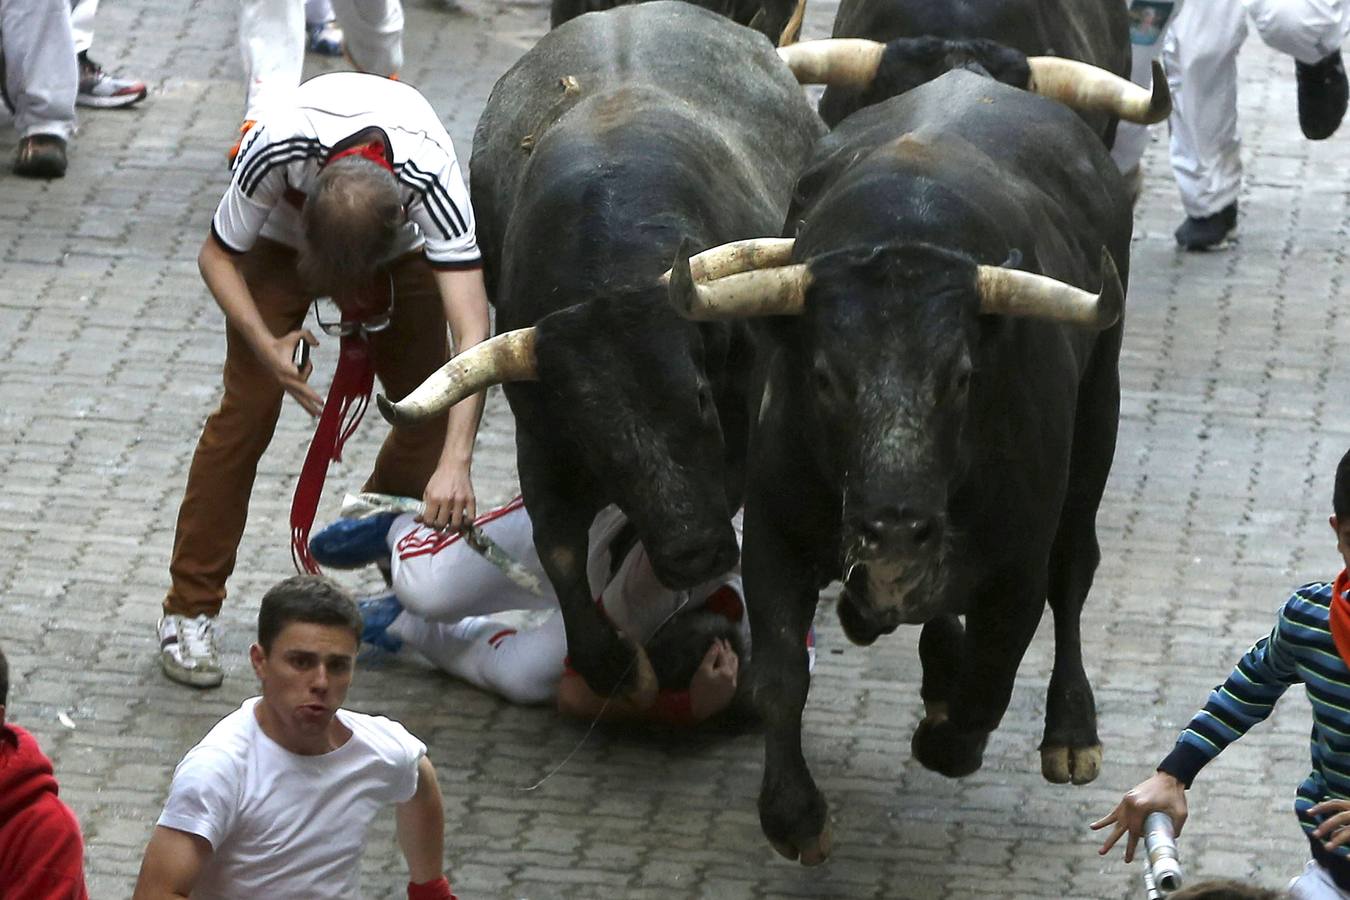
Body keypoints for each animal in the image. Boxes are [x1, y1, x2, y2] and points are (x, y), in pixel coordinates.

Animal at [464, 1, 820, 696]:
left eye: (701, 400)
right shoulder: (540, 433)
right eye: (592, 437)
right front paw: (606, 660)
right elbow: (559, 548)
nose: (693, 554)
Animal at [672, 68, 1128, 858]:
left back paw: (1070, 730)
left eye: (963, 377)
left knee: (1074, 573)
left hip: (1100, 419)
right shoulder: (771, 536)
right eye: (824, 377)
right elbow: (780, 675)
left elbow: (991, 683)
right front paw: (795, 815)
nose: (894, 528)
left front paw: (947, 741)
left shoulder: (1016, 569)